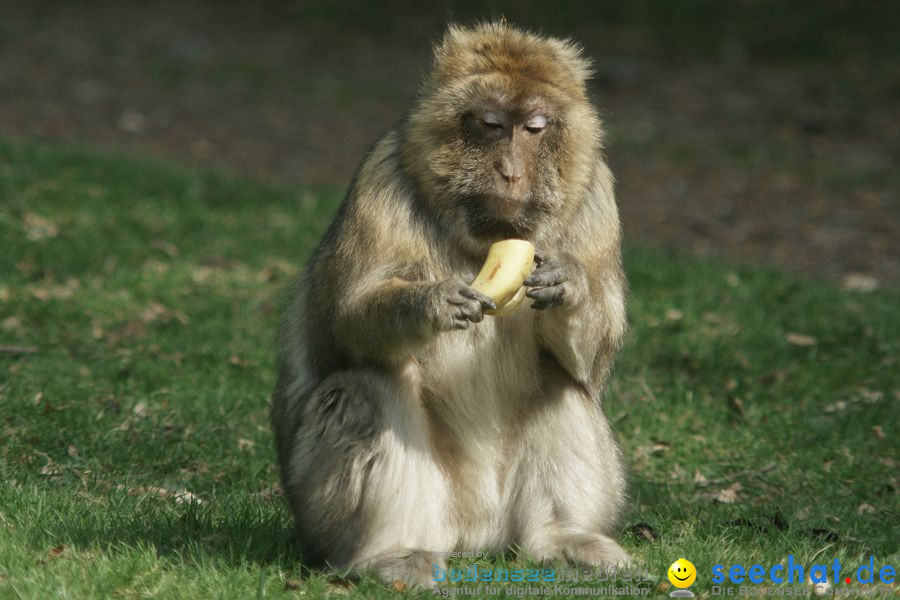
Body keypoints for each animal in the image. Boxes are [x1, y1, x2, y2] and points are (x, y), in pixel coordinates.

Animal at [270, 22, 628, 584]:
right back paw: (386, 553)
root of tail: (475, 537)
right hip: (343, 515)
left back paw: (561, 538)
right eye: (491, 124)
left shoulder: (597, 197)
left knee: (561, 382)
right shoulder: (383, 179)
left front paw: (569, 285)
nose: (510, 171)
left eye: (535, 128)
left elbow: (594, 363)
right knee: (366, 382)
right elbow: (340, 328)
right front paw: (430, 302)